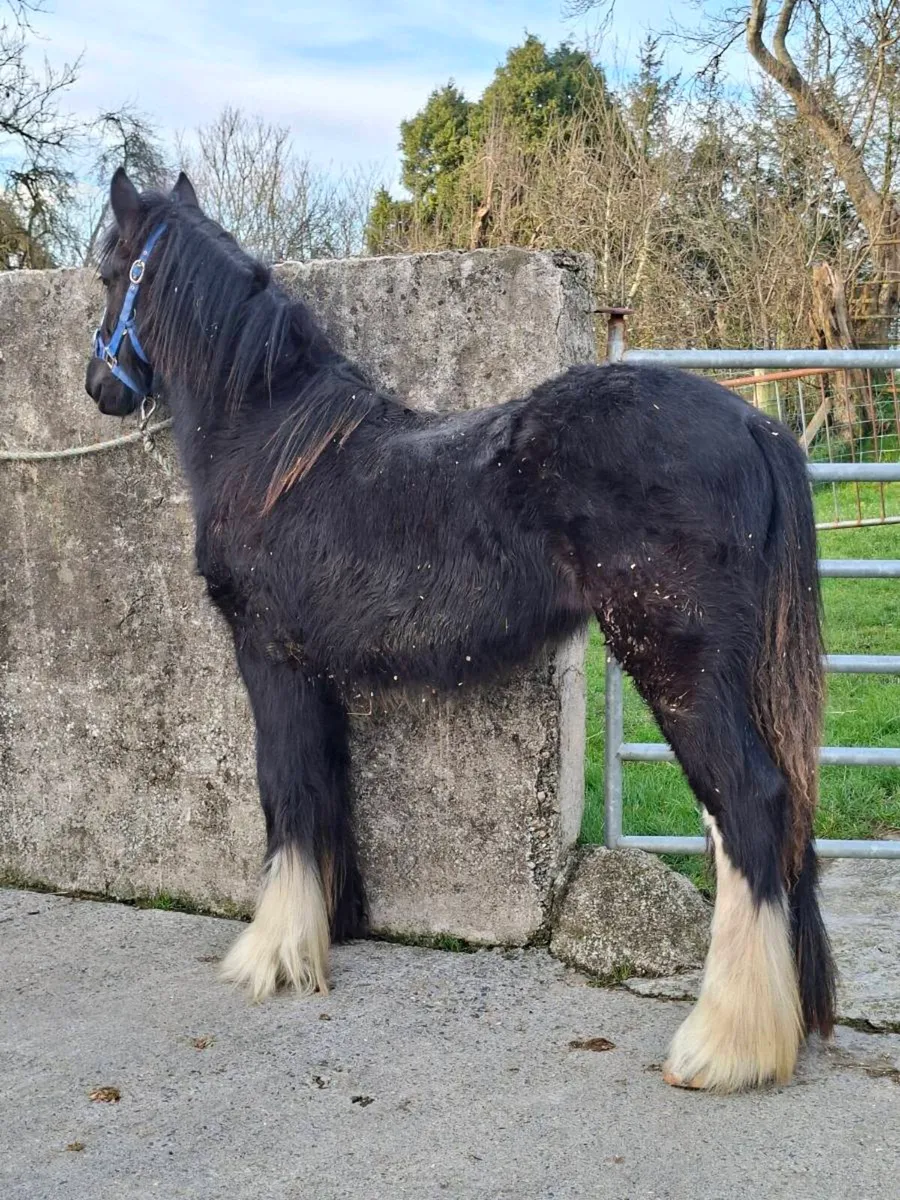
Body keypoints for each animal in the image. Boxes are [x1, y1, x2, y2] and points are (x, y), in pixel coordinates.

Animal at [84, 167, 835, 1093]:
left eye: (108, 272)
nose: (99, 386)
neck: (267, 444)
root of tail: (755, 425)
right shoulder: (319, 673)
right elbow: (327, 786)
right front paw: (331, 924)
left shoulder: (270, 658)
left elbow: (284, 791)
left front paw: (271, 953)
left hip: (680, 666)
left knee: (750, 804)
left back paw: (726, 1045)